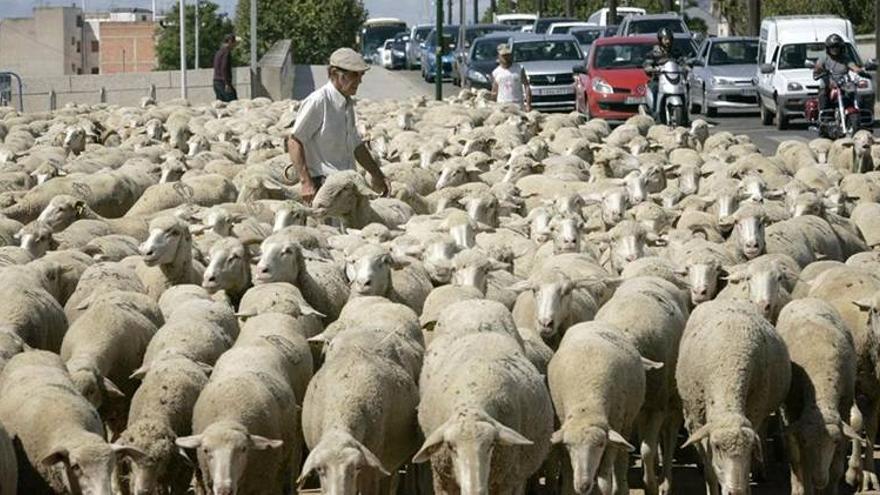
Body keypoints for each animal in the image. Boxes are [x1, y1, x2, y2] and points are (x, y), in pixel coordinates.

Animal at [552, 322, 652, 495]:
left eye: (600, 445)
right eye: (568, 445)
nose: (583, 486)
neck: (586, 405)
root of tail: (592, 322)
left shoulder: (613, 429)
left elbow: (604, 479)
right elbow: (568, 475)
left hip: (627, 423)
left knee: (621, 459)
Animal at [676, 300, 796, 495]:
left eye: (749, 449)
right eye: (717, 447)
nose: (736, 491)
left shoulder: (755, 410)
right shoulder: (698, 420)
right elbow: (710, 468)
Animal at [776, 298, 860, 495]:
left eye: (835, 440)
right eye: (806, 440)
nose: (819, 480)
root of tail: (805, 299)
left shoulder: (844, 408)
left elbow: (837, 466)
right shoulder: (792, 412)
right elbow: (800, 461)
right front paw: (805, 487)